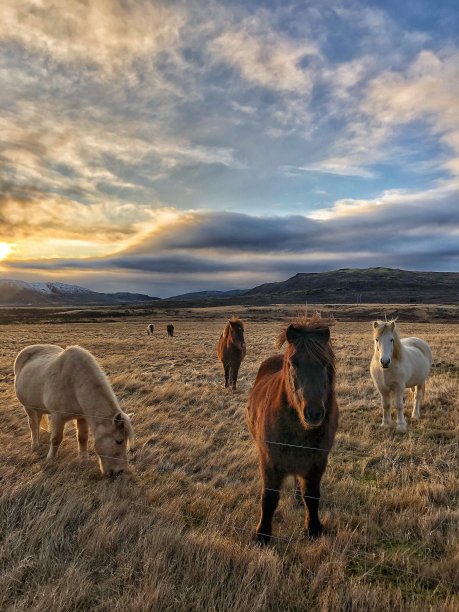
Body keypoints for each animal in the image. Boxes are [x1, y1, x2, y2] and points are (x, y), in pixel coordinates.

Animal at [13, 342, 133, 476]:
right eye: (119, 441)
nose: (120, 472)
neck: (74, 383)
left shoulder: (82, 417)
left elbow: (82, 438)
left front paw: (83, 459)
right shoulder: (58, 417)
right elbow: (56, 439)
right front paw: (51, 458)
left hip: (37, 406)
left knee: (37, 421)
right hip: (27, 407)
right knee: (33, 424)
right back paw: (35, 445)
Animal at [248, 316, 338, 544]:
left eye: (325, 362)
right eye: (293, 363)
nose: (314, 413)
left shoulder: (317, 462)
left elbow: (312, 496)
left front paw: (314, 529)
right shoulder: (269, 461)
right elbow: (269, 498)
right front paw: (262, 535)